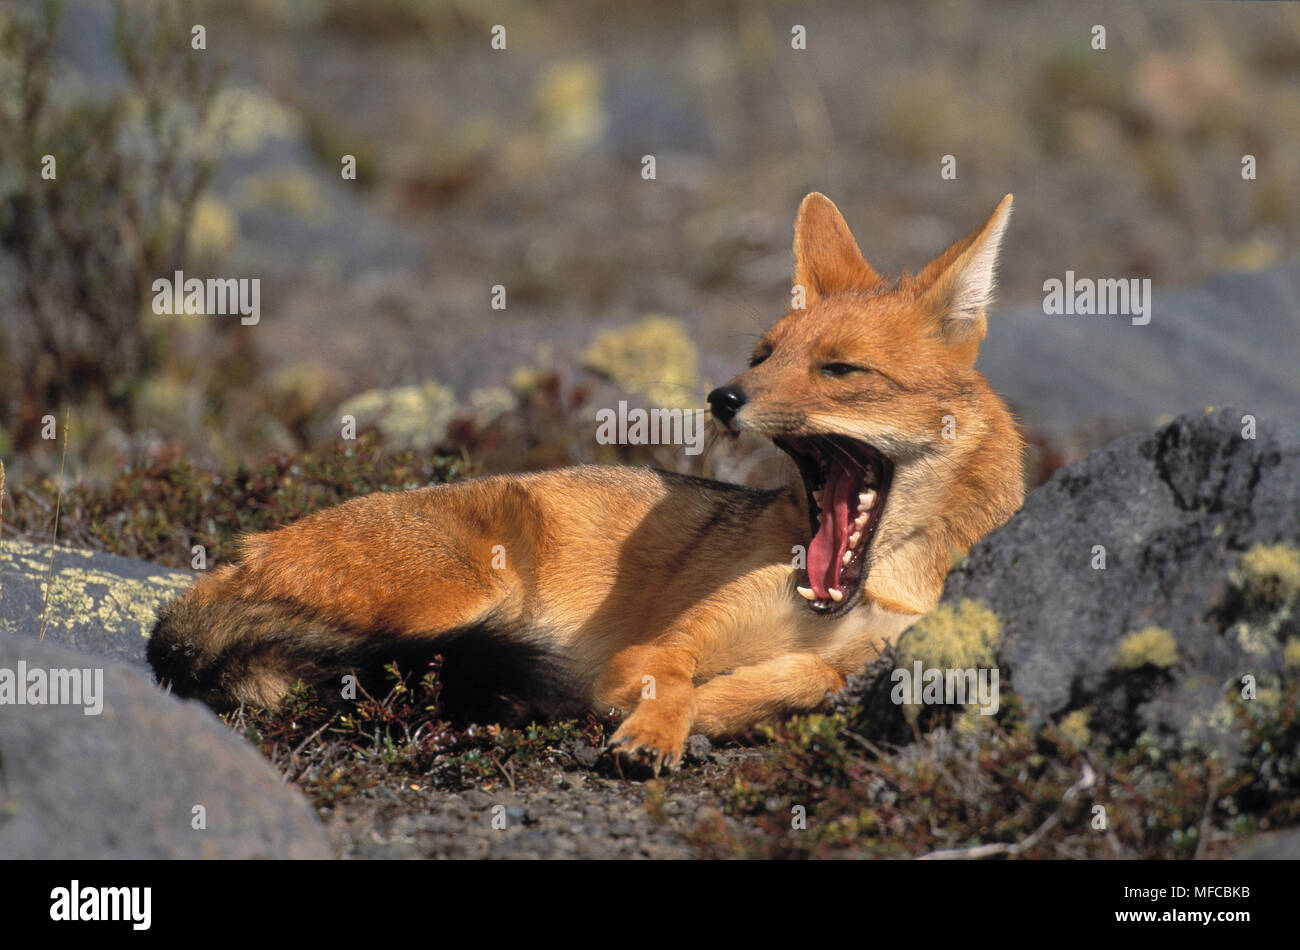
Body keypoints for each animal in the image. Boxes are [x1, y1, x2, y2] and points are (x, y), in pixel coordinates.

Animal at [148, 192, 1025, 774]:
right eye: (763, 356)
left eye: (840, 370)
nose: (722, 397)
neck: (861, 590)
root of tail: (229, 562)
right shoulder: (661, 644)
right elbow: (671, 676)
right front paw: (656, 726)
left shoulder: (876, 652)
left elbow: (810, 677)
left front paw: (717, 708)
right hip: (460, 592)